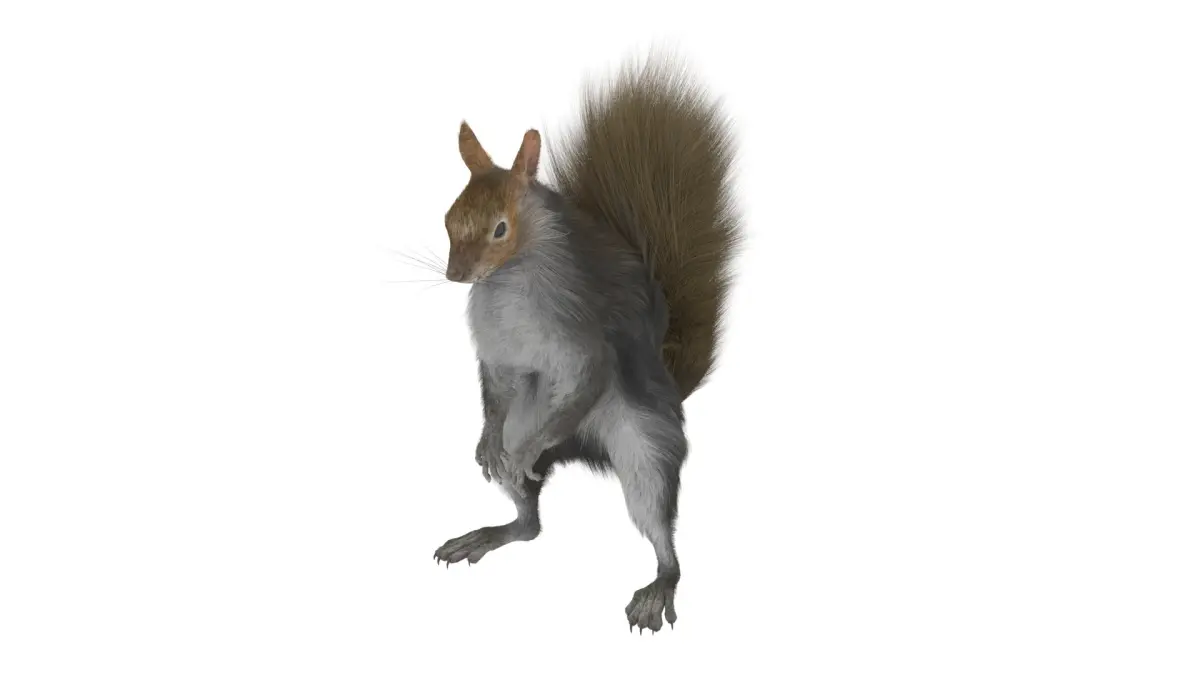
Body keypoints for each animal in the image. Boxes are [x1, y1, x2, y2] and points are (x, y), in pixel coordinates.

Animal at [432, 52, 742, 634]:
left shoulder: (582, 341)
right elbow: (494, 390)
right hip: (529, 415)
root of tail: (582, 445)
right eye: (448, 218)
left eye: (501, 229)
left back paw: (658, 586)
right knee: (529, 521)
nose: (456, 276)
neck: (508, 283)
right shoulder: (499, 358)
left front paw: (521, 453)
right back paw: (491, 522)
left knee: (659, 526)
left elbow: (587, 378)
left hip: (644, 446)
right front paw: (485, 441)